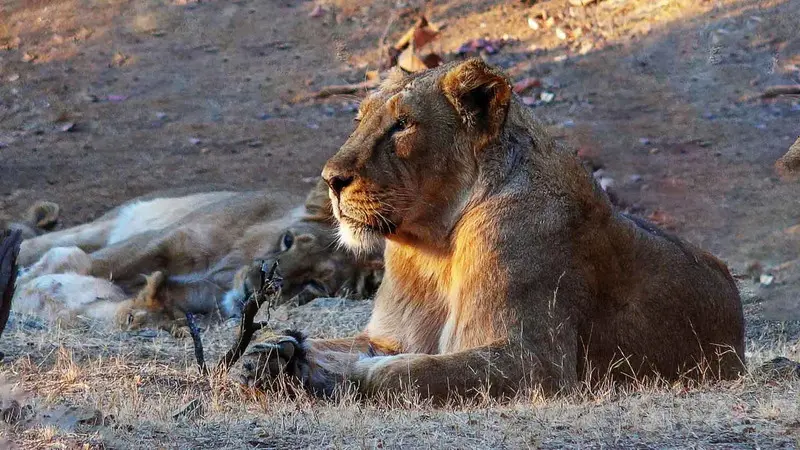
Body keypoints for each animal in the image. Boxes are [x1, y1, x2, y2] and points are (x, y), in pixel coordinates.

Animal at [13, 180, 383, 333]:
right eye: (287, 240)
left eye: (315, 285)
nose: (256, 288)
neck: (225, 270)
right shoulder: (166, 239)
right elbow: (97, 264)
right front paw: (28, 286)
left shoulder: (194, 295)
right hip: (106, 224)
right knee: (40, 243)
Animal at [238, 59, 746, 400]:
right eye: (360, 119)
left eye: (403, 125)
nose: (331, 179)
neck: (435, 245)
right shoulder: (391, 336)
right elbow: (350, 346)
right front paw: (269, 356)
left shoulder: (538, 365)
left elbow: (405, 371)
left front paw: (329, 374)